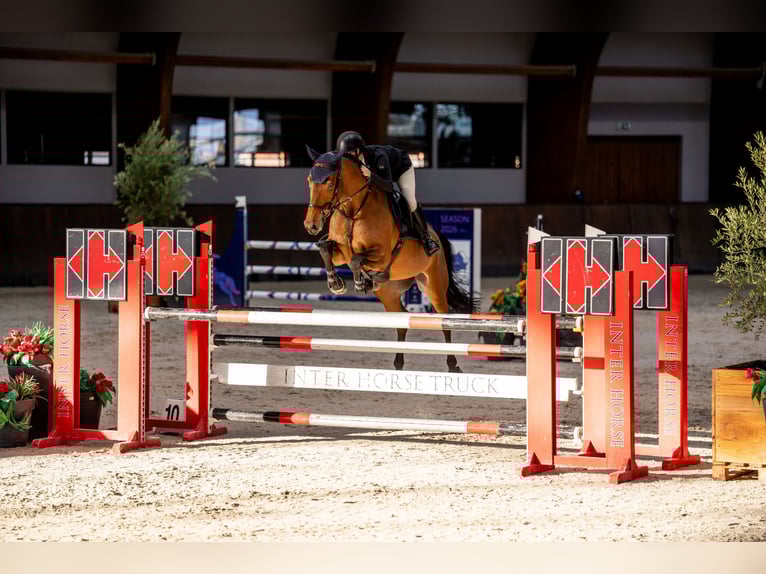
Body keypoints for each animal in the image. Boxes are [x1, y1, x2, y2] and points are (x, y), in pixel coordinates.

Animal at [303, 146, 479, 373]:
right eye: (309, 180)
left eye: (330, 183)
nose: (311, 225)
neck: (353, 211)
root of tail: (436, 234)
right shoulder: (341, 251)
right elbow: (325, 249)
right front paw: (336, 283)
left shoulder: (381, 254)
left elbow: (356, 260)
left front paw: (359, 283)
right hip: (389, 293)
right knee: (401, 319)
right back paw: (398, 362)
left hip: (434, 286)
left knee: (444, 319)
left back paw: (452, 364)